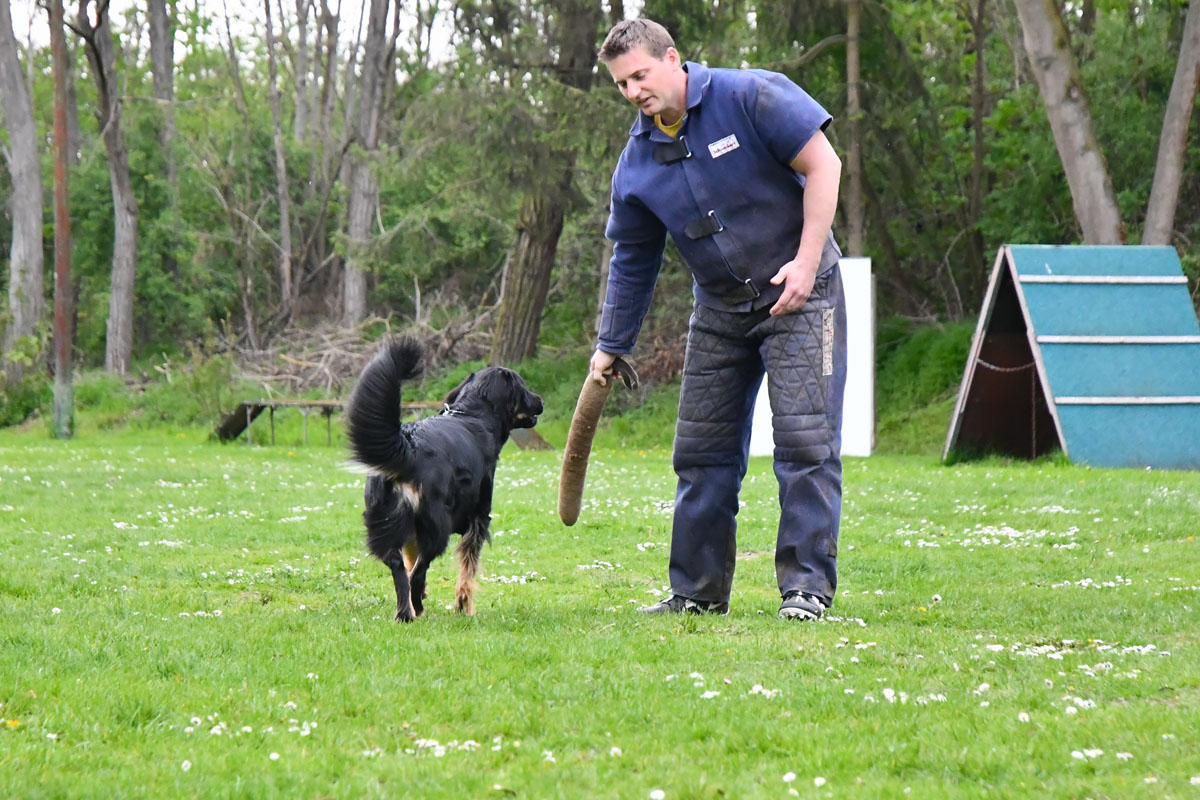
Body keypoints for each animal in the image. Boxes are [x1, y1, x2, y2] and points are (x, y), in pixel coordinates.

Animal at [343, 335, 540, 623]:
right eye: (523, 388)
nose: (540, 400)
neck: (471, 414)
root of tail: (409, 445)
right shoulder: (479, 519)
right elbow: (467, 571)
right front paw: (464, 606)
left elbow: (410, 560)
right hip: (437, 526)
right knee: (416, 574)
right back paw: (417, 608)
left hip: (386, 521)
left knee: (400, 569)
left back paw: (406, 613)